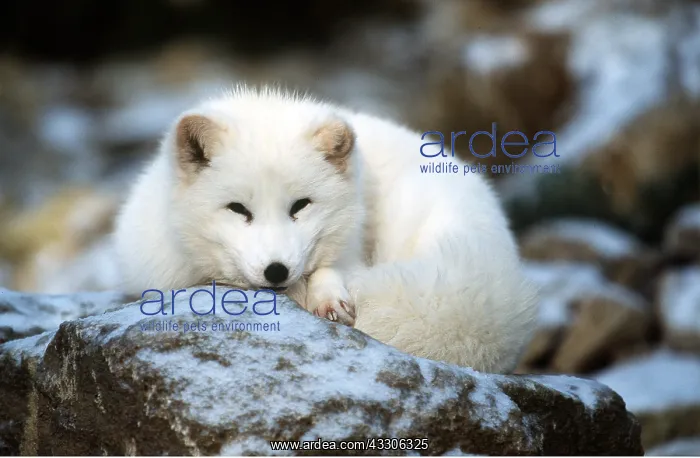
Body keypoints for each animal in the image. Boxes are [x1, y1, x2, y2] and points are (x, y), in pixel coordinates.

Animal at [113, 86, 538, 373]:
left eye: (300, 205)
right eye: (238, 209)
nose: (277, 271)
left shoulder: (351, 242)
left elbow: (331, 268)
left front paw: (329, 297)